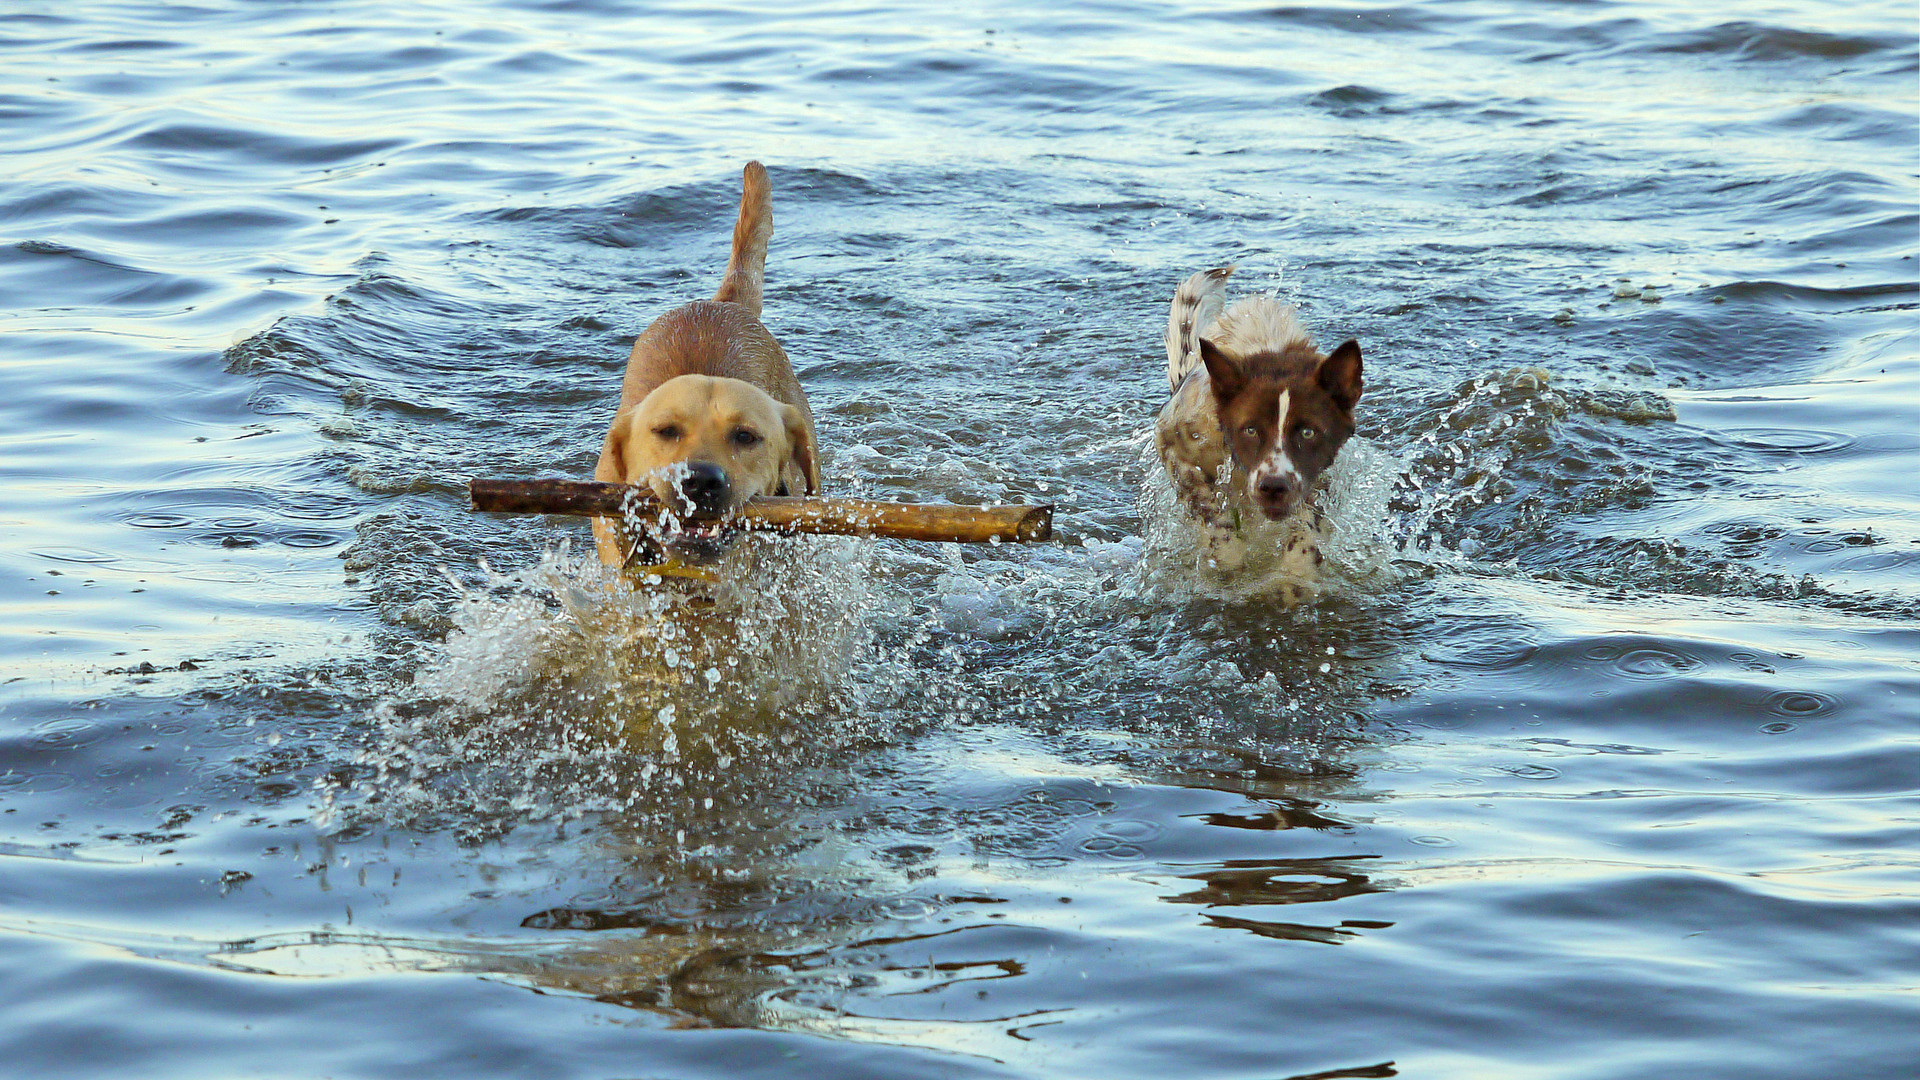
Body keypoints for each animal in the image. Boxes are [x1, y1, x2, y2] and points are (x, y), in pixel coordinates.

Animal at [1152, 263, 1367, 572]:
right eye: (1250, 430)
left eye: (1308, 432)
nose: (1274, 487)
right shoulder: (1175, 448)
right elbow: (1212, 517)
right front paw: (1230, 558)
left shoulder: (1314, 479)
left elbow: (1306, 532)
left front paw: (1295, 569)